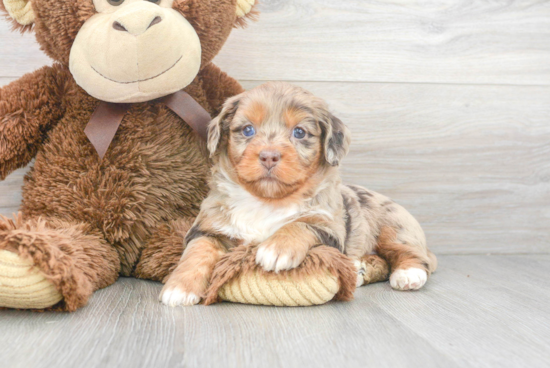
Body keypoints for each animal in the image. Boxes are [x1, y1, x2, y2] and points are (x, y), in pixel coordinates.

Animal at [161, 82, 440, 306]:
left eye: (299, 132)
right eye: (248, 130)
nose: (269, 155)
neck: (267, 201)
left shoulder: (330, 227)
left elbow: (301, 224)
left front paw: (276, 249)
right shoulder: (208, 228)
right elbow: (197, 251)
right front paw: (179, 288)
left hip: (394, 228)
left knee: (411, 255)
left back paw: (408, 274)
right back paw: (358, 270)